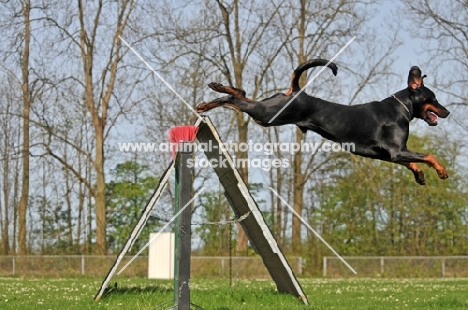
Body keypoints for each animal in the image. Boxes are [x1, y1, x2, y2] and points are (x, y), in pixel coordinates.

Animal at [197, 60, 450, 184]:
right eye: (433, 98)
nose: (447, 112)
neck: (400, 109)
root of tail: (296, 91)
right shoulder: (396, 150)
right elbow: (429, 155)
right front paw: (441, 171)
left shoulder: (389, 154)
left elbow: (412, 162)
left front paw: (419, 175)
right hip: (267, 114)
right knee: (235, 99)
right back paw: (211, 99)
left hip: (269, 108)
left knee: (241, 94)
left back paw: (214, 90)